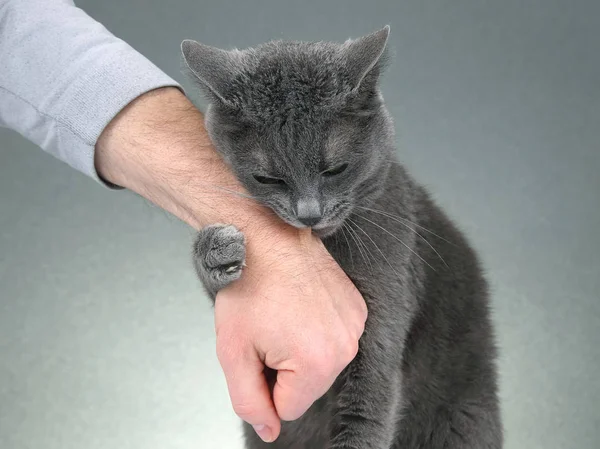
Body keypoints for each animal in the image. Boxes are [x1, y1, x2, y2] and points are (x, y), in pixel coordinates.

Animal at [182, 26, 502, 446]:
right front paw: (216, 252)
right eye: (268, 178)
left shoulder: (385, 302)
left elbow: (366, 406)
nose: (309, 213)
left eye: (335, 169)